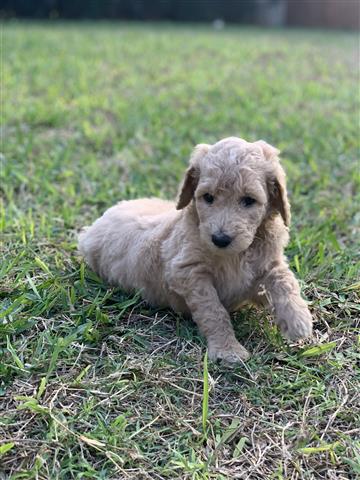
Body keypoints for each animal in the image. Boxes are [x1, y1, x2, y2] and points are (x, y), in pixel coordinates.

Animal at [79, 137, 312, 362]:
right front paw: (227, 349)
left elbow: (284, 278)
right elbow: (213, 310)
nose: (220, 239)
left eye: (249, 200)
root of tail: (92, 227)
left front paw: (298, 318)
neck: (236, 255)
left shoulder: (267, 260)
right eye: (208, 197)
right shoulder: (188, 272)